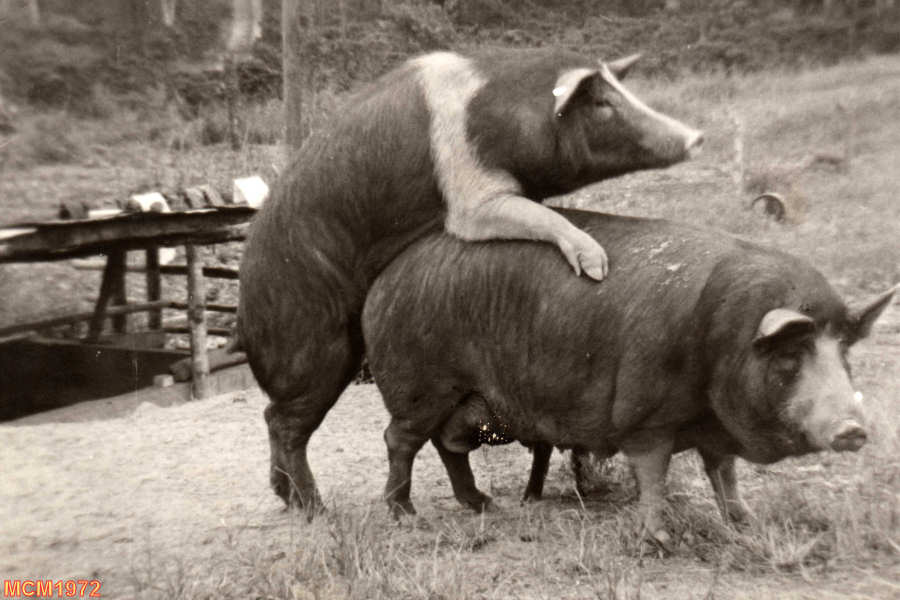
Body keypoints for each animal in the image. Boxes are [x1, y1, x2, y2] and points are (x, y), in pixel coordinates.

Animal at [238, 48, 703, 509]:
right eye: (602, 104)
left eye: (623, 90)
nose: (696, 136)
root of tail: (244, 318)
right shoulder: (472, 197)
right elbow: (534, 216)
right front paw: (595, 265)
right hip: (313, 352)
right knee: (283, 422)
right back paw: (314, 508)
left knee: (276, 418)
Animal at [361, 209, 894, 544]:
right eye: (792, 354)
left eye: (844, 351)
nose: (853, 429)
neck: (720, 340)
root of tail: (383, 282)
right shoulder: (644, 415)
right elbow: (653, 472)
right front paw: (660, 539)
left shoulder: (715, 429)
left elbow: (724, 473)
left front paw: (747, 523)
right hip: (419, 386)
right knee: (400, 440)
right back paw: (404, 515)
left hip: (461, 398)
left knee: (448, 446)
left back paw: (486, 505)